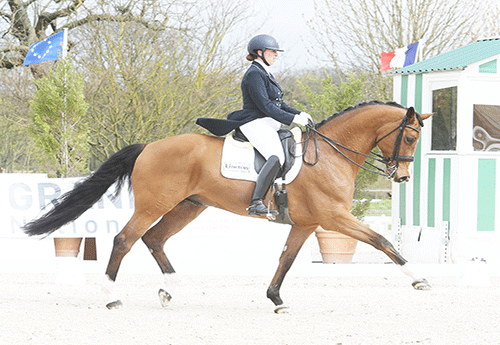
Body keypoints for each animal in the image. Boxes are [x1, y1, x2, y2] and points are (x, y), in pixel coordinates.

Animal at [21, 99, 432, 312]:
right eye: (411, 137)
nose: (402, 177)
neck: (330, 154)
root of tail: (149, 146)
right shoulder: (333, 217)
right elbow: (382, 241)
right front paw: (419, 279)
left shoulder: (306, 223)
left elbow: (286, 258)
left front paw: (276, 299)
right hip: (155, 203)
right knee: (125, 240)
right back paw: (112, 297)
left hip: (189, 206)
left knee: (154, 239)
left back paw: (169, 290)